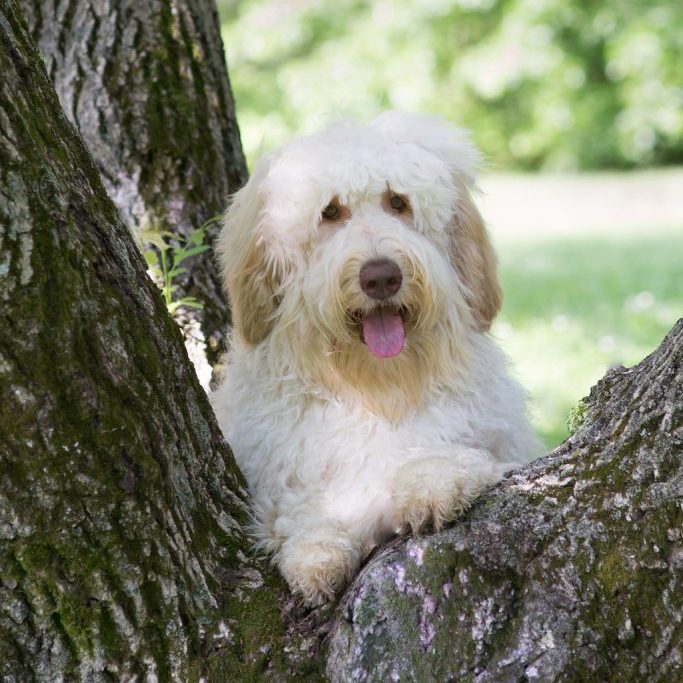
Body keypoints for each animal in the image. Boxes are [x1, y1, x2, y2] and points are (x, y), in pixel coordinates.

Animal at [211, 113, 544, 608]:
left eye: (398, 203)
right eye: (330, 212)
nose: (382, 276)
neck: (376, 389)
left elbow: (448, 454)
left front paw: (430, 483)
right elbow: (303, 512)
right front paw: (317, 552)